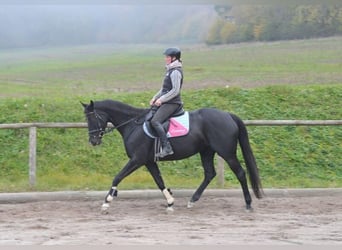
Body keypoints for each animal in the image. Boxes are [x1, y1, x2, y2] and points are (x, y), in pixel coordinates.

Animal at [81, 98, 264, 212]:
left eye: (93, 118)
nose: (93, 141)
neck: (133, 125)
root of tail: (228, 115)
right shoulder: (149, 161)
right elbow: (159, 181)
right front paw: (170, 202)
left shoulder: (137, 159)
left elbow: (117, 177)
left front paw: (107, 201)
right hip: (206, 151)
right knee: (209, 174)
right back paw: (192, 200)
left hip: (226, 152)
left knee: (240, 173)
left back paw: (248, 204)